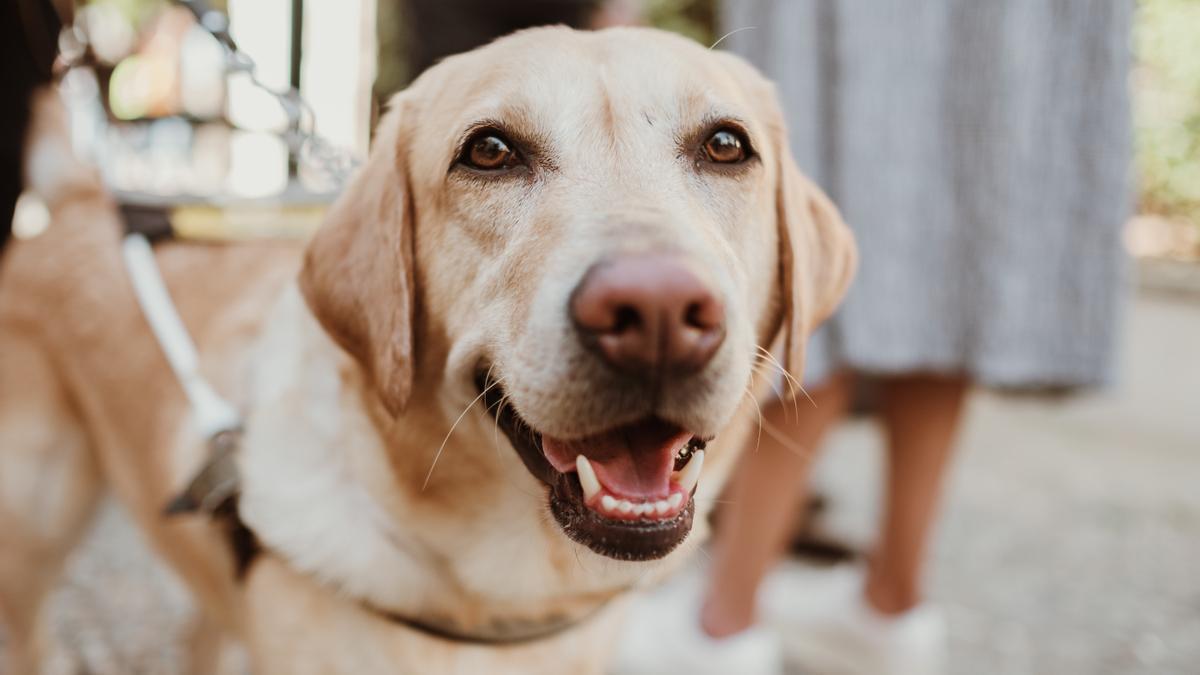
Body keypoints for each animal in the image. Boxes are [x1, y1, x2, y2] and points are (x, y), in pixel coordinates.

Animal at [0, 24, 854, 667]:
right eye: (490, 152)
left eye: (725, 145)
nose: (656, 312)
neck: (507, 601)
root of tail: (84, 198)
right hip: (31, 537)